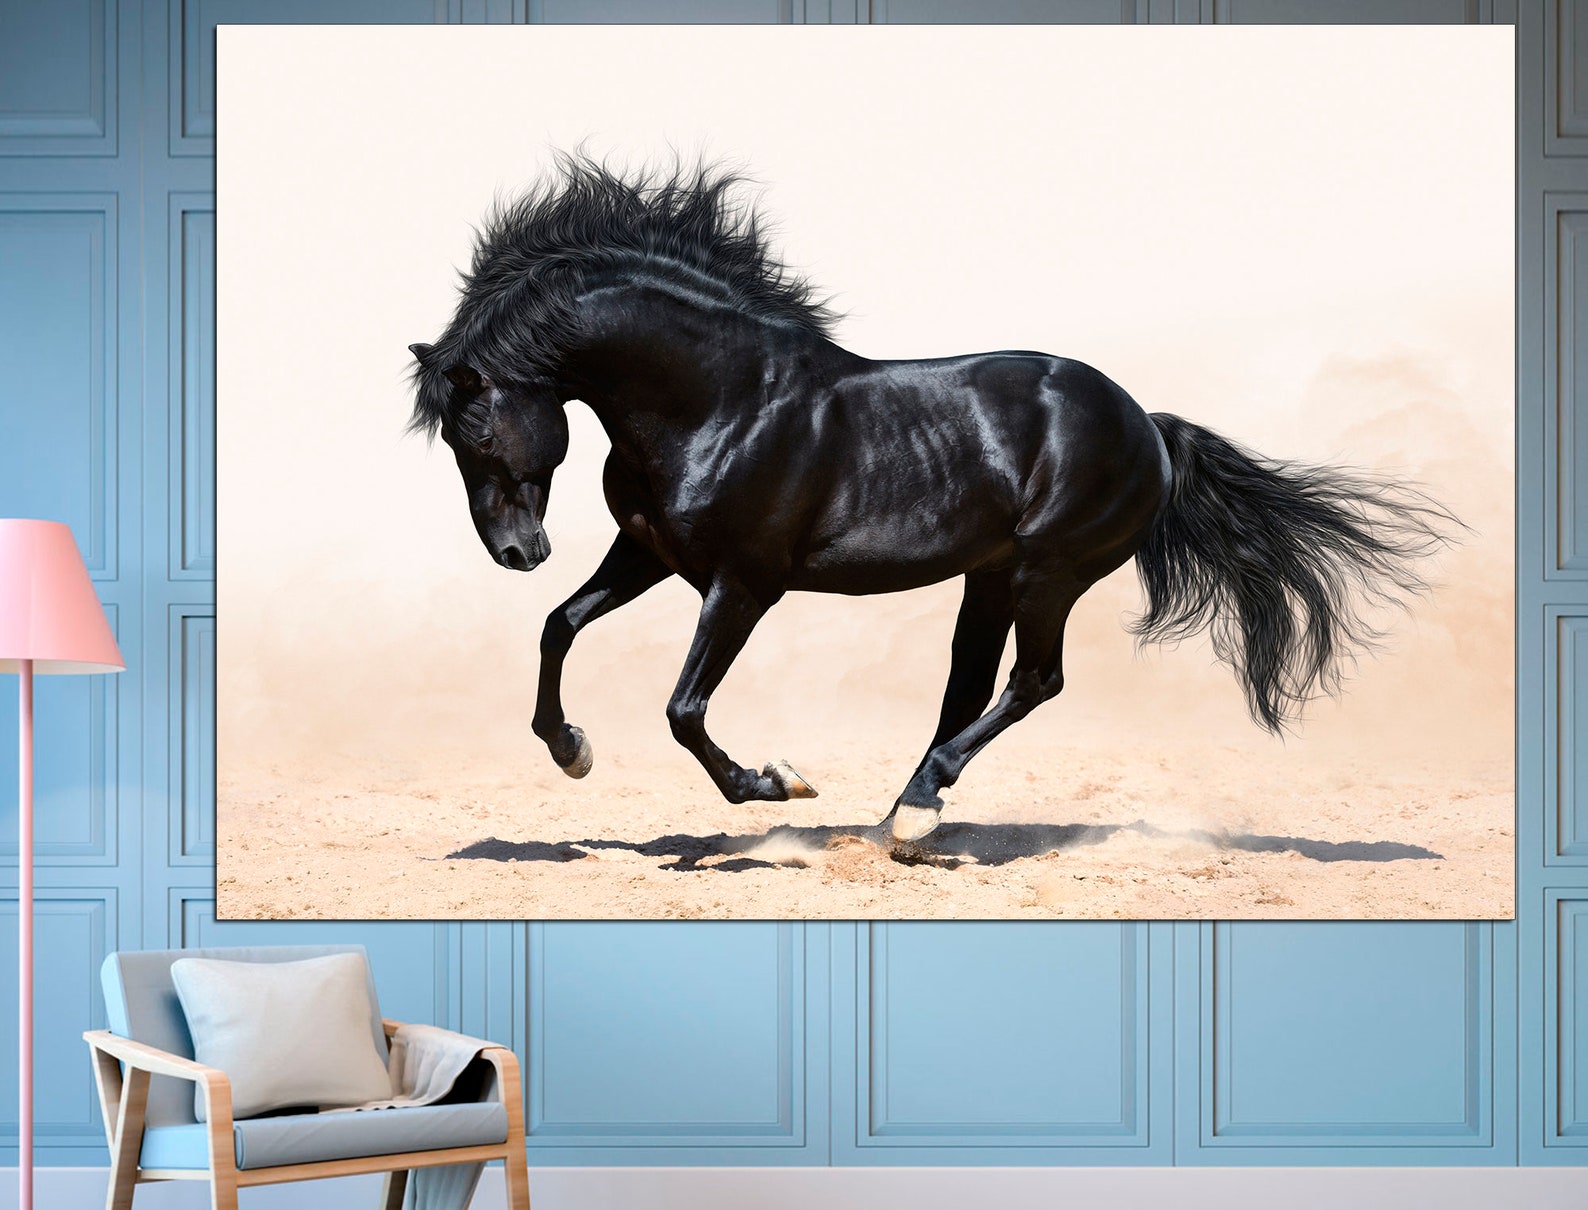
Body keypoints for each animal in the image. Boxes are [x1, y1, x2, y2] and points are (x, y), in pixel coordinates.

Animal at [407, 154, 1454, 843]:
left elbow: (683, 709)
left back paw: (913, 813)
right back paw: (898, 819)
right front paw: (571, 749)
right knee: (969, 688)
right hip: (989, 577)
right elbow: (559, 626)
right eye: (453, 443)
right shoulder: (652, 553)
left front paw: (777, 784)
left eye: (478, 431)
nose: (516, 552)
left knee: (1033, 683)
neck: (722, 399)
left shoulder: (743, 584)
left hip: (1047, 572)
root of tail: (1147, 426)